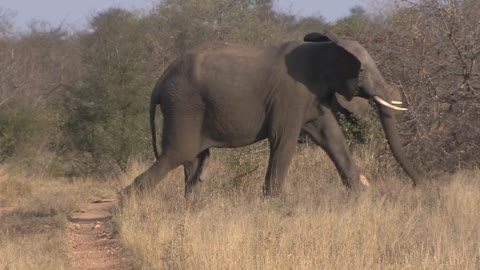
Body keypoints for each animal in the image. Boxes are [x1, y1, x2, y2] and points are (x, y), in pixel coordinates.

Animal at [124, 30, 420, 197]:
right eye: (362, 71)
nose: (419, 185)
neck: (326, 47)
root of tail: (160, 83)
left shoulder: (313, 97)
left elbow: (331, 138)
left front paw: (359, 196)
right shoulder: (290, 96)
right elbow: (283, 141)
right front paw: (274, 203)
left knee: (196, 165)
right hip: (184, 105)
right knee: (177, 156)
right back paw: (128, 203)